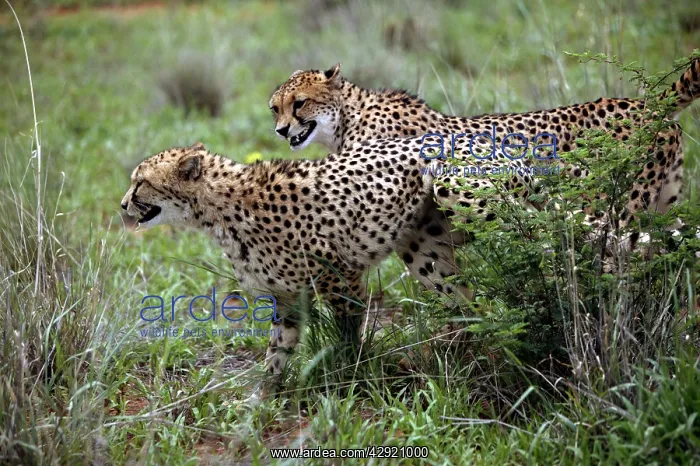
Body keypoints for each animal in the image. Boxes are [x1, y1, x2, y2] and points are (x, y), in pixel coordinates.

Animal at [269, 59, 700, 296]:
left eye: (300, 103)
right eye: (275, 107)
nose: (280, 130)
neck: (346, 119)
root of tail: (647, 103)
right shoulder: (422, 241)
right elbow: (449, 290)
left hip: (615, 208)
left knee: (614, 257)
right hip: (663, 209)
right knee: (676, 253)